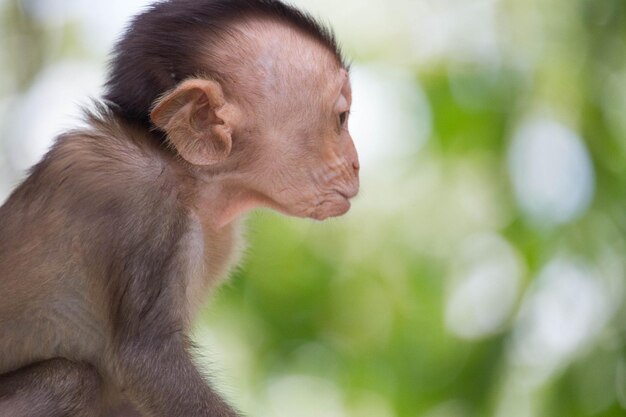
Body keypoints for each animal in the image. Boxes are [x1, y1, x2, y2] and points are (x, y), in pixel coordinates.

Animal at [0, 0, 356, 416]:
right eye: (341, 119)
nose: (355, 163)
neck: (189, 176)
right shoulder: (146, 202)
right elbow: (149, 362)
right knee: (70, 381)